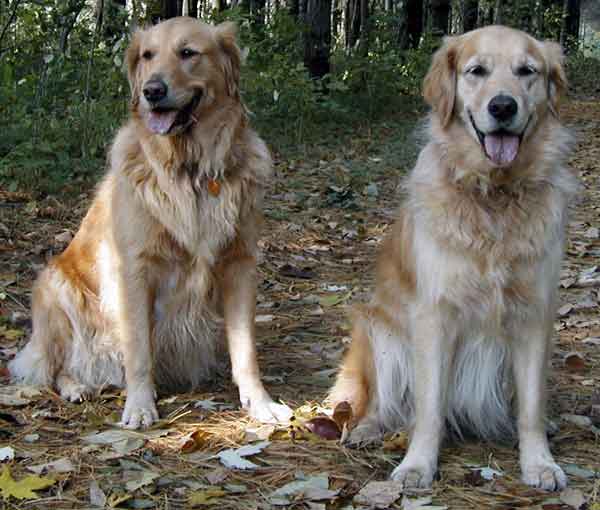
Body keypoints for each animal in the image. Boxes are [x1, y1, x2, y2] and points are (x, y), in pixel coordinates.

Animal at [8, 17, 290, 428]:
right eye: (147, 55)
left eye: (188, 52)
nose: (152, 91)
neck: (190, 169)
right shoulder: (134, 269)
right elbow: (139, 349)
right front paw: (140, 406)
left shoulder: (239, 263)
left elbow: (245, 348)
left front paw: (259, 401)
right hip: (54, 288)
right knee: (55, 365)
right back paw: (77, 386)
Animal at [330, 25, 580, 492]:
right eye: (476, 71)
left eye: (527, 71)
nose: (503, 106)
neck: (493, 195)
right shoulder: (434, 315)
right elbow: (429, 408)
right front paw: (417, 465)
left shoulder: (535, 313)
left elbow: (531, 408)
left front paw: (539, 462)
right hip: (377, 330)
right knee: (383, 403)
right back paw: (368, 429)